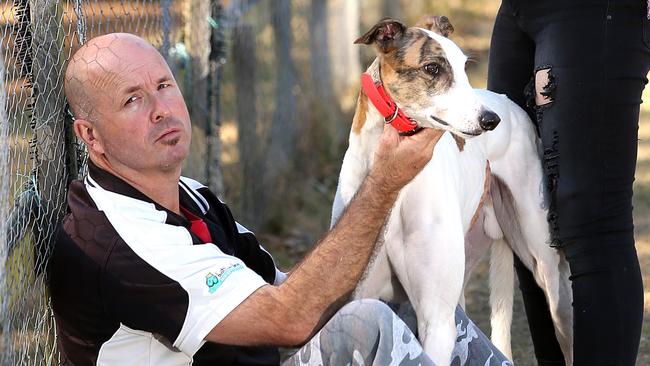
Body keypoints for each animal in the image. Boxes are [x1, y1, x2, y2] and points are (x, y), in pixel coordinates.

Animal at [332, 17, 568, 366]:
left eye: (464, 66)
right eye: (432, 68)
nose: (490, 121)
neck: (393, 187)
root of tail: (506, 101)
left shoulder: (437, 321)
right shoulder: (361, 303)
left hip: (545, 266)